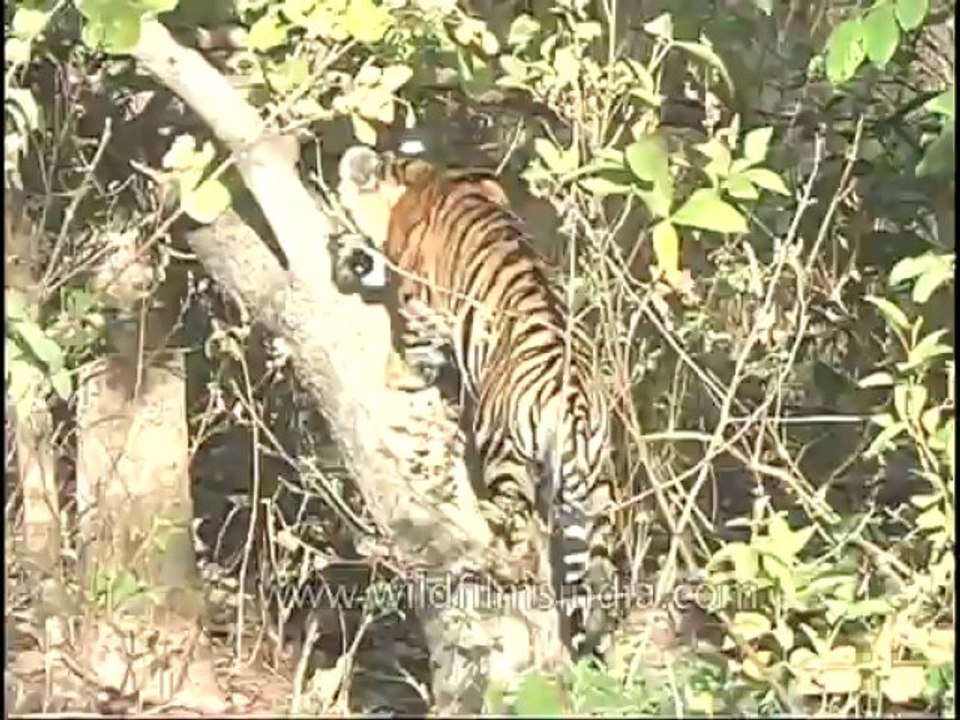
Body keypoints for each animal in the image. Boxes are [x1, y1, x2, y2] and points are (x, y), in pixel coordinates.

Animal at [333, 144, 618, 658]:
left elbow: (415, 346)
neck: (417, 174)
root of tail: (577, 400)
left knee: (519, 535)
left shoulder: (419, 303)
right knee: (598, 576)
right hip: (590, 487)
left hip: (503, 449)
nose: (339, 249)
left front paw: (397, 373)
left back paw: (493, 566)